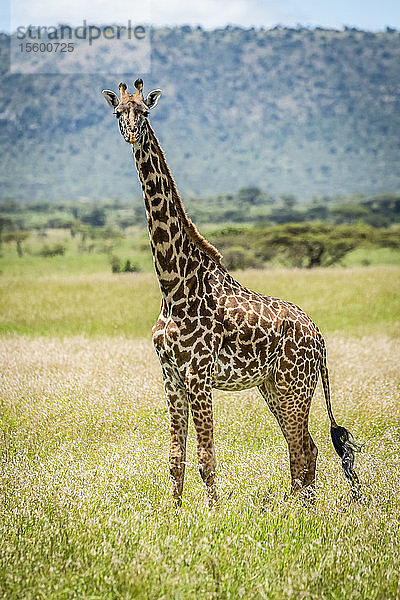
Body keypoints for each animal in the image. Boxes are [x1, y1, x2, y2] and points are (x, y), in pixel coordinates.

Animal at [101, 78, 360, 506]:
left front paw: (212, 514)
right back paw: (297, 508)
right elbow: (175, 460)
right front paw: (174, 513)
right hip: (273, 387)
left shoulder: (198, 375)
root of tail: (319, 336)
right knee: (305, 448)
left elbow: (206, 458)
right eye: (119, 112)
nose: (131, 133)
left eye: (145, 112)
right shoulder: (170, 376)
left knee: (303, 450)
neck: (173, 284)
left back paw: (297, 510)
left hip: (294, 385)